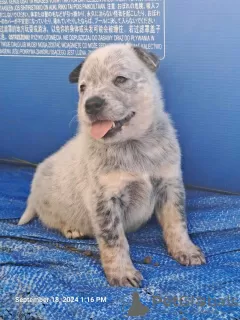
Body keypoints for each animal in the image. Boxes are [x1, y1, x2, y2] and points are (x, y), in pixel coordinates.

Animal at [19, 43, 205, 288]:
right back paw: (72, 229)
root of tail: (33, 194)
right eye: (83, 88)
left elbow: (177, 222)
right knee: (54, 220)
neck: (133, 146)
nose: (91, 104)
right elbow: (114, 239)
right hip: (50, 207)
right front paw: (122, 272)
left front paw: (186, 250)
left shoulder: (169, 183)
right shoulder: (104, 199)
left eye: (120, 79)